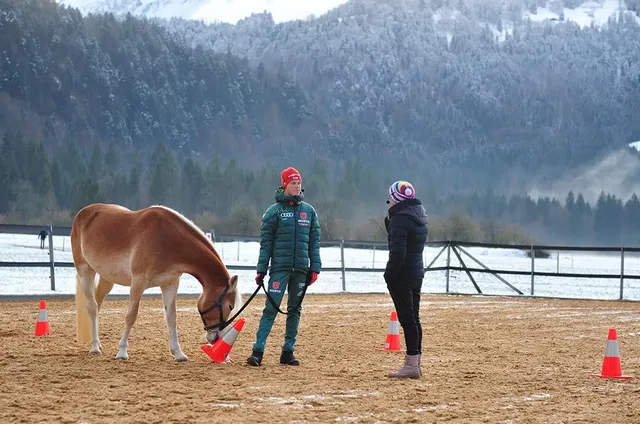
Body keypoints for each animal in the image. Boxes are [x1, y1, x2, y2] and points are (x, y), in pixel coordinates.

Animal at [71, 203, 242, 361]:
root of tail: (83, 213)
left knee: (98, 303)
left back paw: (97, 343)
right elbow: (131, 316)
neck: (167, 238)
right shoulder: (138, 283)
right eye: (230, 306)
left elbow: (171, 318)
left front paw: (178, 353)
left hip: (107, 279)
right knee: (92, 307)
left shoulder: (170, 284)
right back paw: (95, 347)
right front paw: (122, 352)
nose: (215, 338)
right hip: (85, 271)